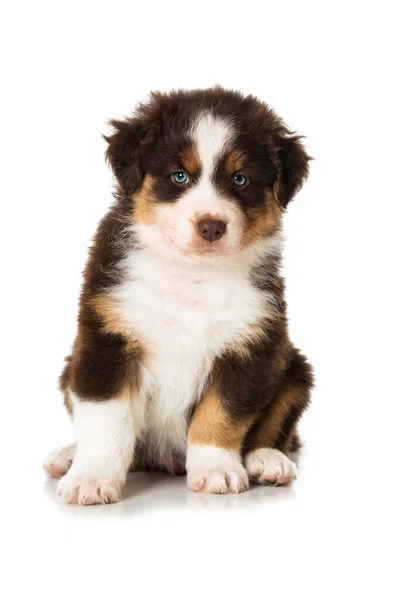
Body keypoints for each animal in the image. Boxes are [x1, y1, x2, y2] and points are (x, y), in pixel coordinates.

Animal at [43, 86, 312, 504]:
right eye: (179, 176)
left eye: (240, 179)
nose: (211, 226)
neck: (191, 275)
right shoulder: (107, 339)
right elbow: (107, 418)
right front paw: (91, 477)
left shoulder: (250, 344)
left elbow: (221, 413)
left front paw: (216, 470)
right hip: (71, 365)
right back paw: (68, 456)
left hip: (295, 372)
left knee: (277, 431)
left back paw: (268, 460)